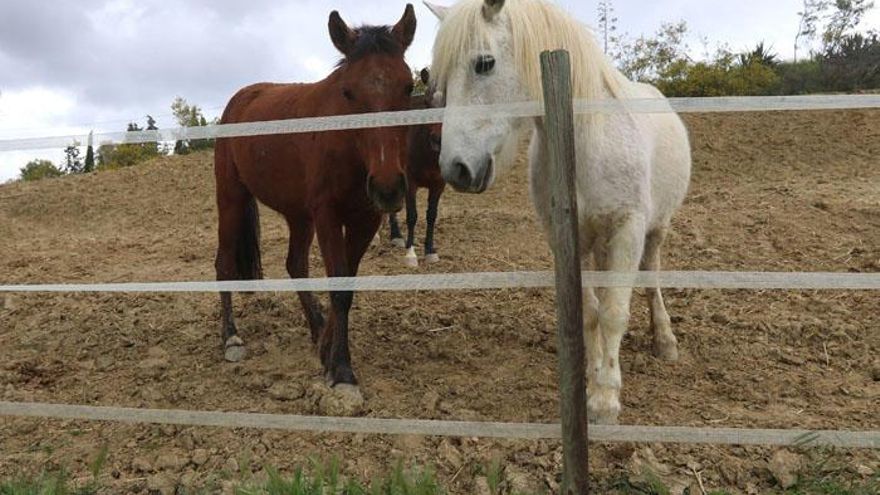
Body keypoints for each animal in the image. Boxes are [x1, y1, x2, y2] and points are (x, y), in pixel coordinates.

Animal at [215, 5, 418, 390]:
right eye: (348, 92)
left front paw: (328, 350)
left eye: (408, 85)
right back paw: (231, 337)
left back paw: (316, 327)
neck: (347, 145)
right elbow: (338, 287)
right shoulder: (327, 215)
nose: (387, 187)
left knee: (295, 264)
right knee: (224, 265)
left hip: (299, 215)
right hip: (231, 198)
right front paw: (341, 369)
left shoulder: (365, 219)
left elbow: (346, 283)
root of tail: (240, 99)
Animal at [386, 70, 444, 268]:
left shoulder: (438, 185)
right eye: (426, 103)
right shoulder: (410, 182)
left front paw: (430, 251)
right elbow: (412, 215)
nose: (437, 140)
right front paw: (410, 254)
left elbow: (431, 215)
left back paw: (395, 236)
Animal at [422, 0, 692, 426]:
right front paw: (592, 379)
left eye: (484, 63)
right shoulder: (566, 237)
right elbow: (590, 312)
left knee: (652, 276)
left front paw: (606, 400)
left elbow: (614, 311)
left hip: (655, 231)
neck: (584, 138)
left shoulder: (628, 229)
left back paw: (664, 340)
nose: (456, 170)